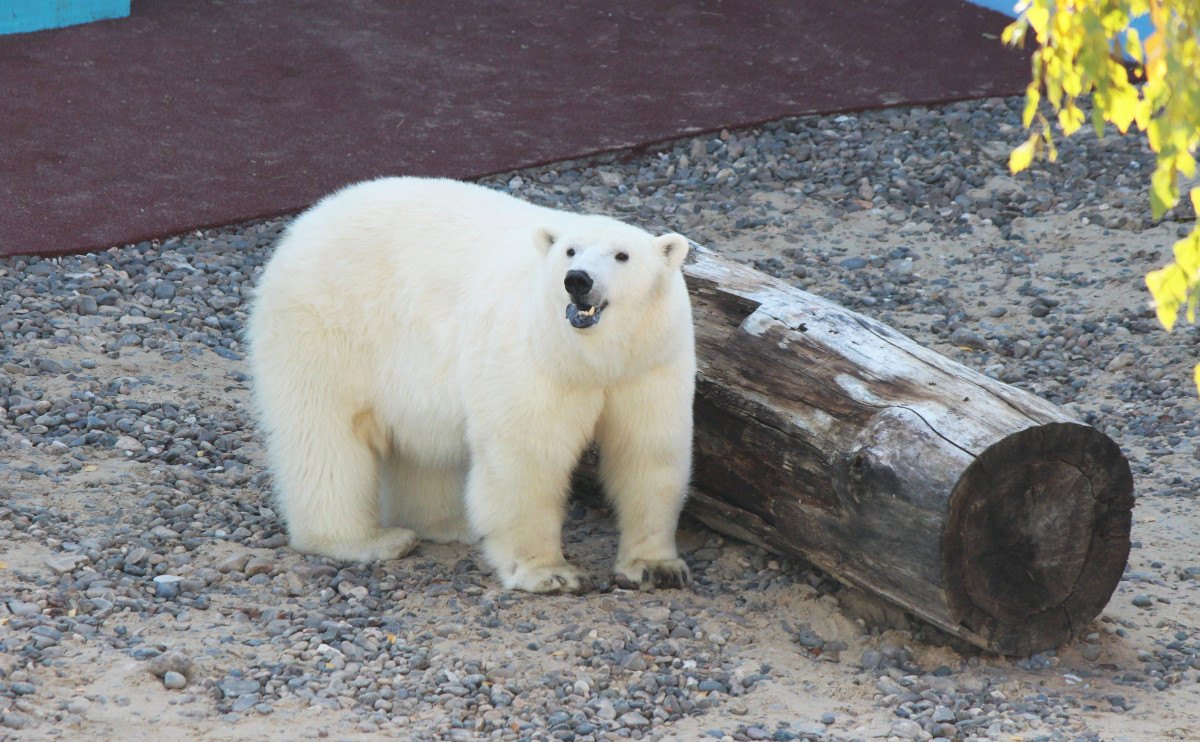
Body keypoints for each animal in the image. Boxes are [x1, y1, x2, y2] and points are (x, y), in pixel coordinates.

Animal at [243, 176, 696, 593]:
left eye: (623, 255)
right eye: (570, 250)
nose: (578, 280)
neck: (593, 357)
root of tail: (305, 221)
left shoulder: (649, 363)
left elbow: (649, 451)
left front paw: (656, 567)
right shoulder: (534, 356)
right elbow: (528, 457)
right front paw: (550, 573)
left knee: (423, 447)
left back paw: (448, 523)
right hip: (330, 322)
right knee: (326, 435)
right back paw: (368, 540)